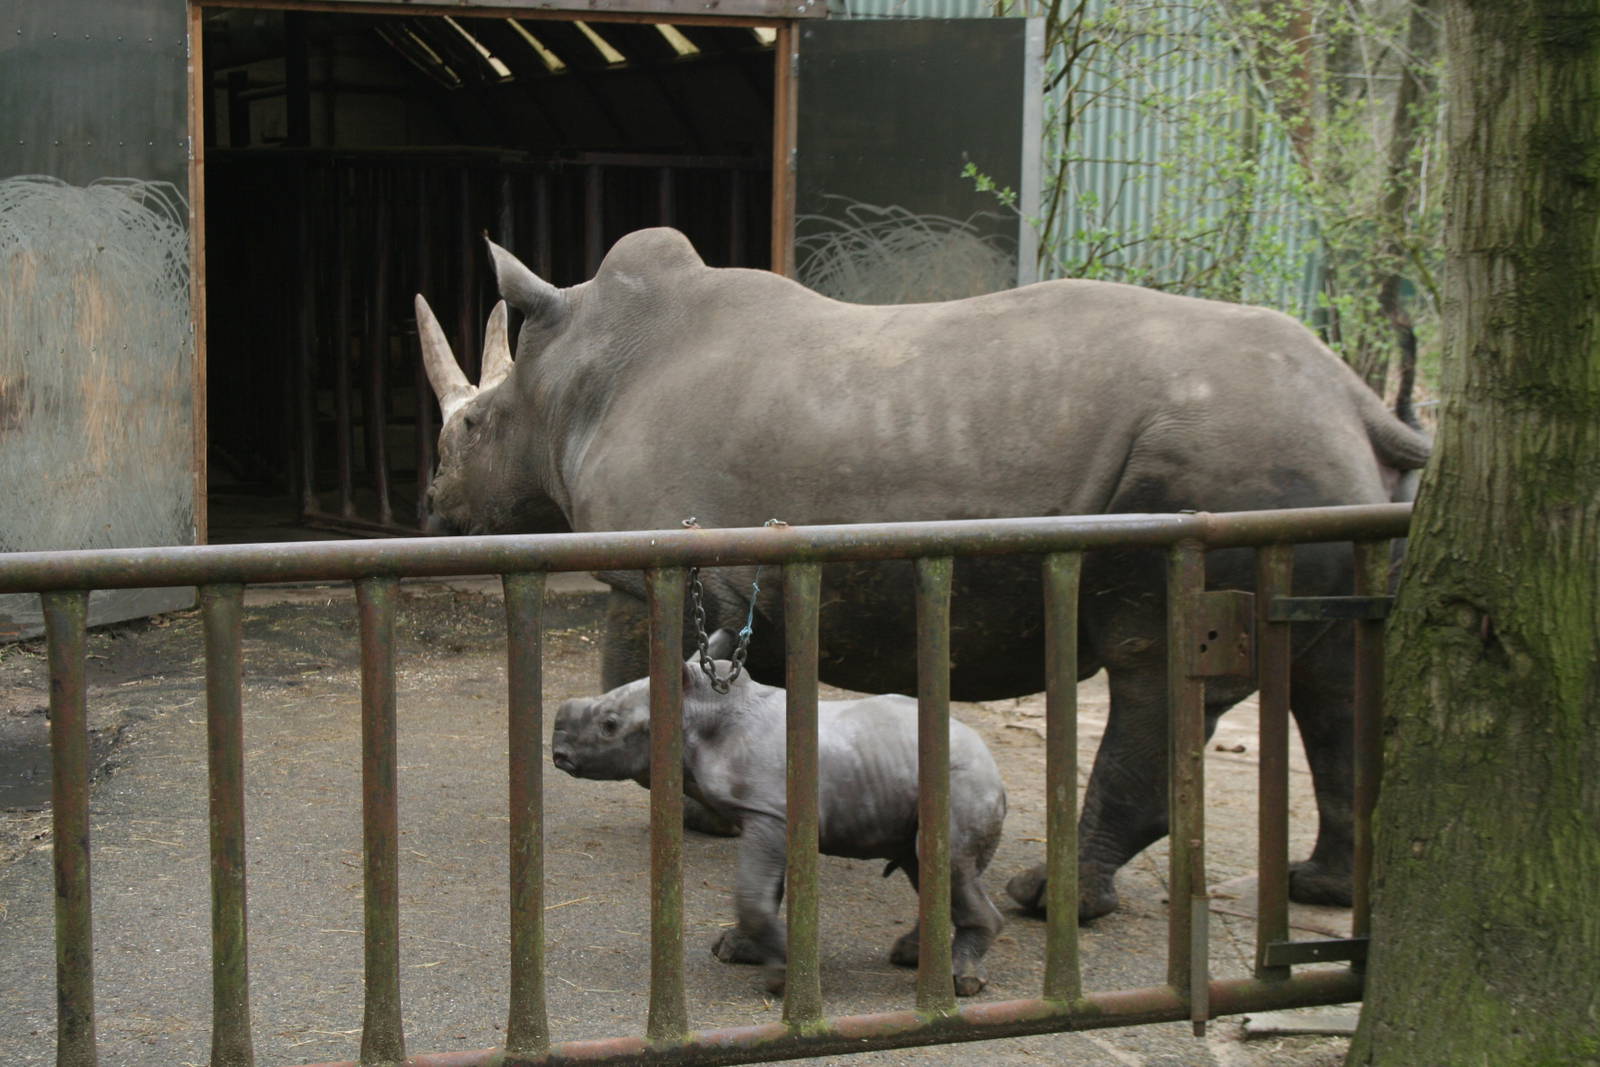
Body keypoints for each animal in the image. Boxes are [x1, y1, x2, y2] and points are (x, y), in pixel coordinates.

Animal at [417, 226, 1431, 922]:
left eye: (470, 428)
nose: (433, 507)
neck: (570, 384)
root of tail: (1359, 398)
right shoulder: (752, 577)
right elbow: (741, 689)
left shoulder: (660, 565)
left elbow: (647, 677)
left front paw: (687, 811)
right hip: (1306, 469)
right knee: (1328, 667)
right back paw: (1320, 887)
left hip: (1223, 460)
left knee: (1158, 658)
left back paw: (1043, 898)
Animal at [550, 647, 1008, 997]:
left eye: (610, 726)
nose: (558, 754)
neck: (699, 714)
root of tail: (996, 773)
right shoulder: (771, 814)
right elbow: (766, 892)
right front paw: (737, 951)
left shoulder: (768, 811)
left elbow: (753, 894)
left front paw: (783, 977)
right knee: (922, 864)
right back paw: (911, 956)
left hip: (964, 786)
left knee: (948, 865)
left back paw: (960, 983)